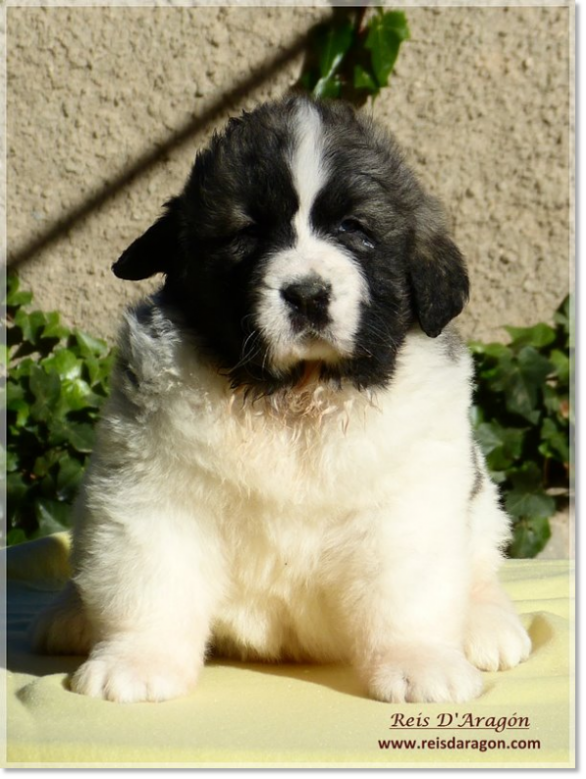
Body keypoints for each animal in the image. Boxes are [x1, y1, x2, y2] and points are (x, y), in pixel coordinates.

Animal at [30, 94, 528, 704]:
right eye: (246, 233)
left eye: (355, 229)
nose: (308, 294)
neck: (294, 397)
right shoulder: (151, 489)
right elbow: (150, 579)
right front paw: (136, 661)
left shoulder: (410, 498)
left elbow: (408, 593)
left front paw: (421, 664)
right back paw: (70, 616)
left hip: (482, 507)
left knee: (481, 565)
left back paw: (486, 624)